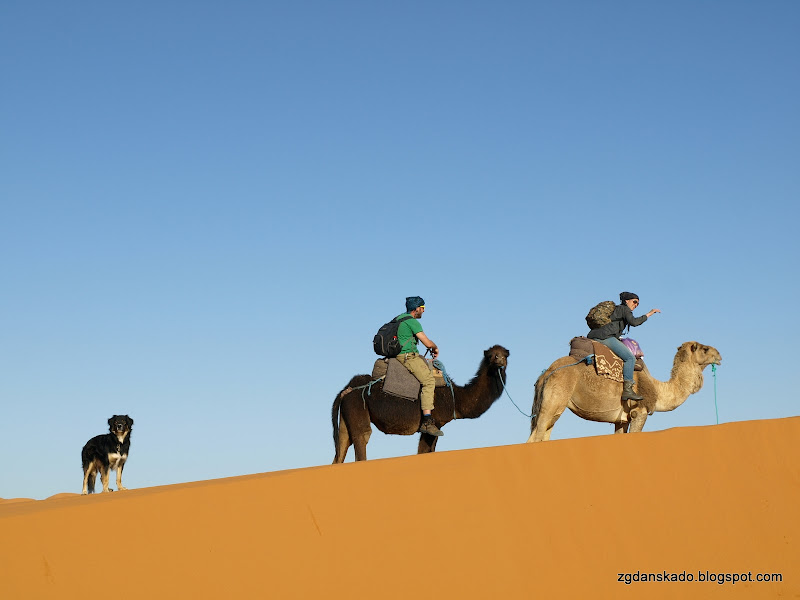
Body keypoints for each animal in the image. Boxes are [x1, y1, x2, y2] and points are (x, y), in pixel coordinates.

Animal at [330, 344, 506, 462]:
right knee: (362, 437)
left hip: (345, 419)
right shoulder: (434, 425)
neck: (456, 398)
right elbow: (423, 451)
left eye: (505, 354)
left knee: (341, 449)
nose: (500, 361)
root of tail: (345, 390)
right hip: (357, 408)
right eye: (491, 355)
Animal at [528, 340, 720, 442]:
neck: (658, 389)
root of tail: (547, 372)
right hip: (554, 400)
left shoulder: (621, 420)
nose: (719, 355)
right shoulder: (639, 411)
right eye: (705, 349)